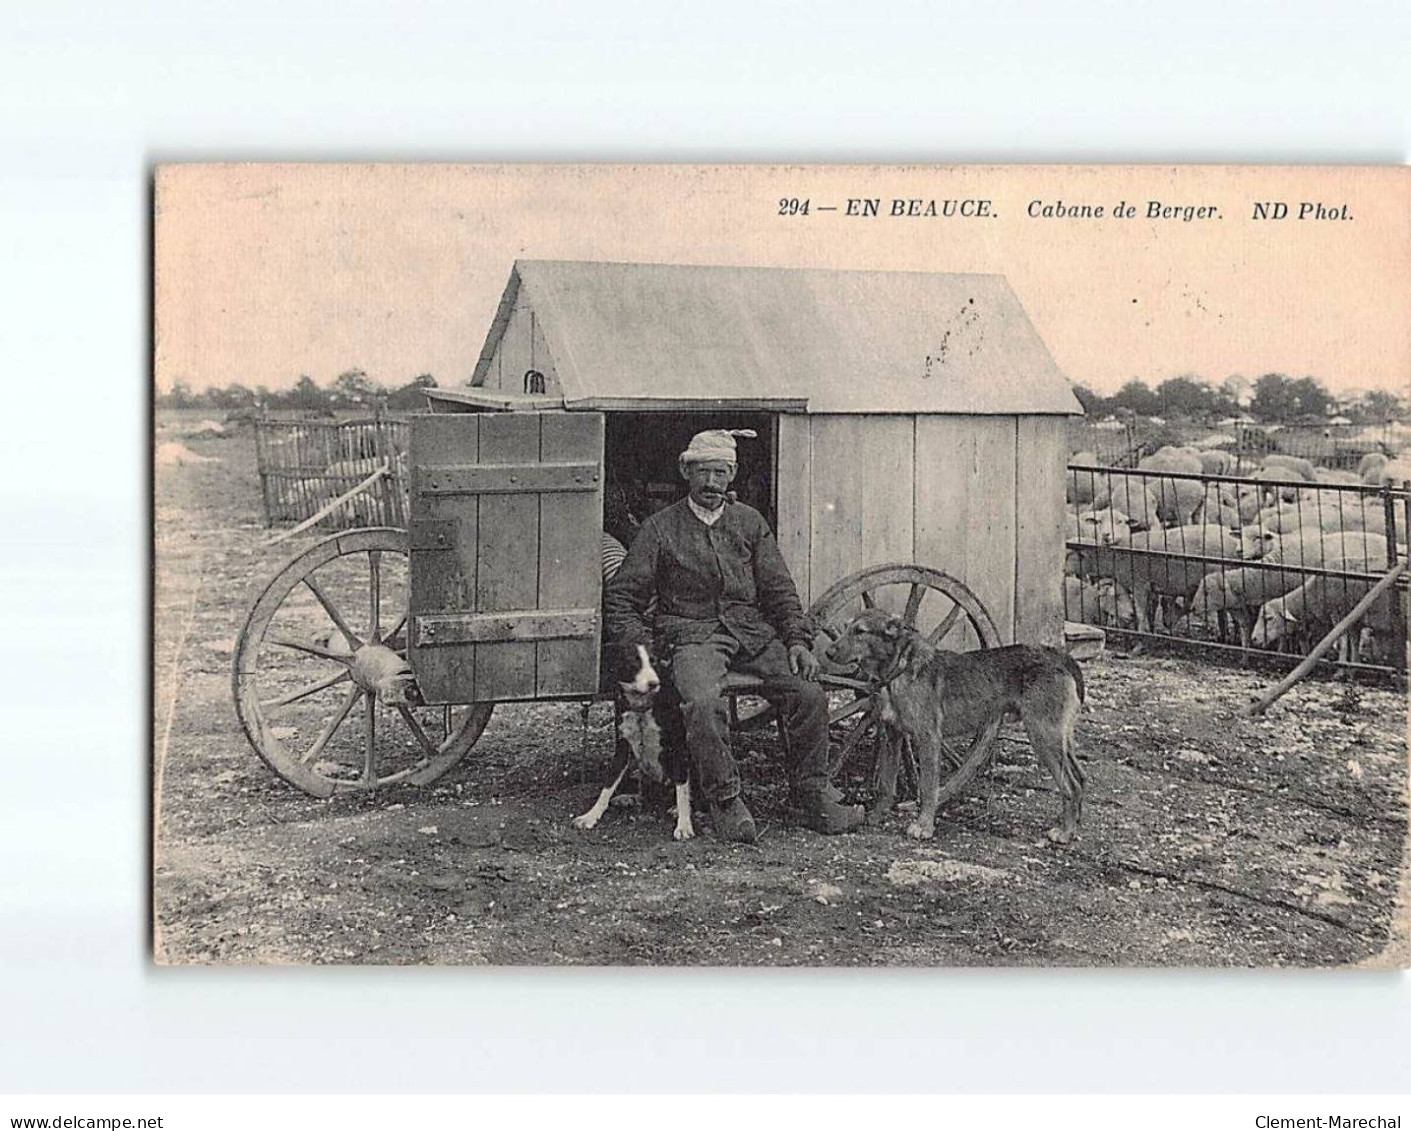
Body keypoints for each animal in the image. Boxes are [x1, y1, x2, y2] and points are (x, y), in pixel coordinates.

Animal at [570, 643, 697, 834]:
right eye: (634, 663)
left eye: (653, 661)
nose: (654, 683)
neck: (641, 708)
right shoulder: (622, 748)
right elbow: (608, 784)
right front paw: (591, 815)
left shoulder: (678, 747)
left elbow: (682, 789)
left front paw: (683, 824)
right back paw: (629, 798)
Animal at [824, 609, 1083, 834]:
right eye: (846, 627)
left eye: (860, 631)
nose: (828, 653)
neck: (900, 669)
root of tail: (1059, 657)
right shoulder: (892, 736)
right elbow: (886, 785)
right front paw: (876, 817)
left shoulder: (928, 739)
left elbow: (928, 787)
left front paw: (924, 826)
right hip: (1059, 738)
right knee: (1080, 778)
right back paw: (1069, 825)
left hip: (1043, 736)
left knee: (1071, 784)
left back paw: (1065, 834)